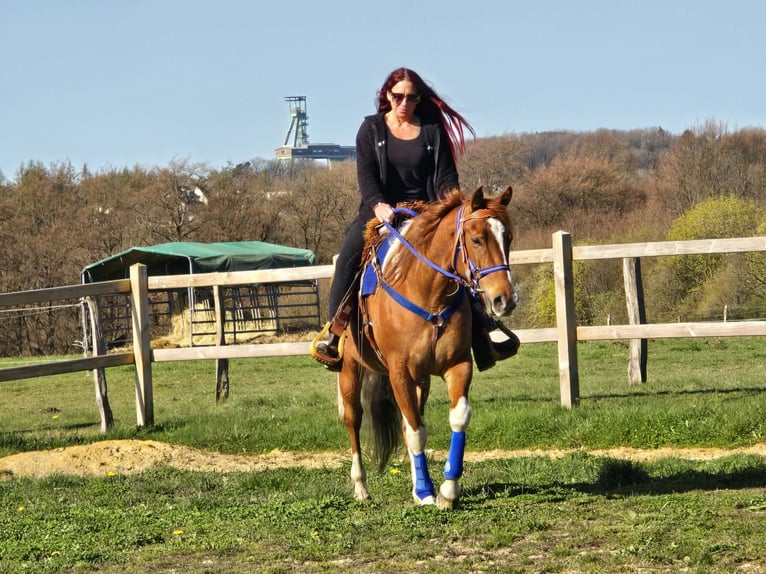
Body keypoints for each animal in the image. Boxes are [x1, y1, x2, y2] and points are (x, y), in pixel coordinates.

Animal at [337, 185, 517, 508]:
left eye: (507, 237)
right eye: (476, 239)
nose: (504, 300)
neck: (429, 293)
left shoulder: (458, 365)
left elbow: (456, 419)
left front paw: (447, 490)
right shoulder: (399, 372)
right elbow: (416, 432)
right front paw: (424, 491)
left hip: (421, 380)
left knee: (408, 423)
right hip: (350, 370)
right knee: (353, 419)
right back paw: (361, 488)